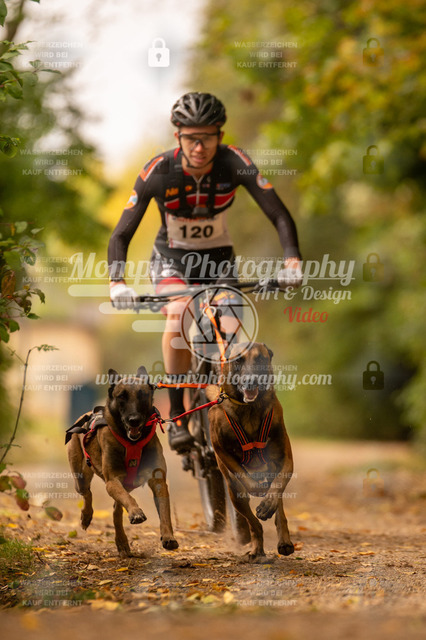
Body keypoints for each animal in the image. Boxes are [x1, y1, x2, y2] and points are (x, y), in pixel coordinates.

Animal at [66, 366, 178, 557]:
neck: (131, 442)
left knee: (115, 511)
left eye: (143, 395)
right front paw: (136, 512)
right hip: (81, 477)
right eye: (121, 397)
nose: (134, 420)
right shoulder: (112, 481)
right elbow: (128, 499)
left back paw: (122, 541)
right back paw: (86, 516)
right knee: (88, 493)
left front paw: (168, 536)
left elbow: (165, 512)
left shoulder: (158, 481)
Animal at [206, 342, 294, 562]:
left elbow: (279, 484)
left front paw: (268, 502)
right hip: (234, 495)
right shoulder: (222, 452)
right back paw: (256, 548)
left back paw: (284, 540)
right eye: (238, 360)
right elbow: (247, 482)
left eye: (260, 359)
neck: (250, 410)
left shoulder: (286, 459)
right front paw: (258, 489)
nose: (251, 381)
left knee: (279, 511)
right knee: (253, 523)